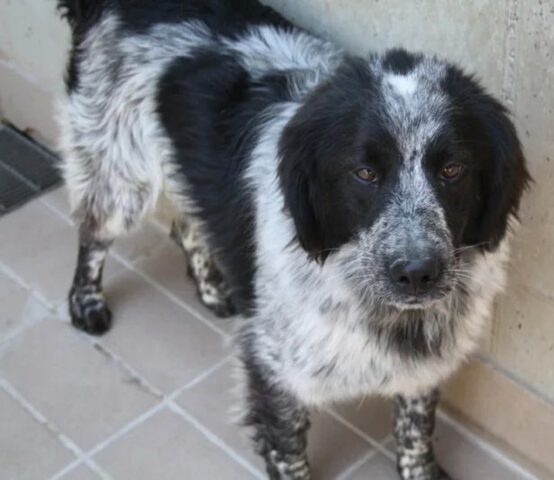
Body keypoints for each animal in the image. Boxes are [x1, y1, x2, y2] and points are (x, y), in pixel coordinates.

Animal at [58, 1, 528, 478]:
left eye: (452, 169)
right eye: (364, 172)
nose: (417, 273)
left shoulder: (429, 356)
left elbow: (416, 426)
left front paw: (421, 469)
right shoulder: (274, 365)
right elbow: (288, 449)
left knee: (187, 223)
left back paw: (212, 290)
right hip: (120, 175)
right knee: (94, 233)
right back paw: (86, 303)